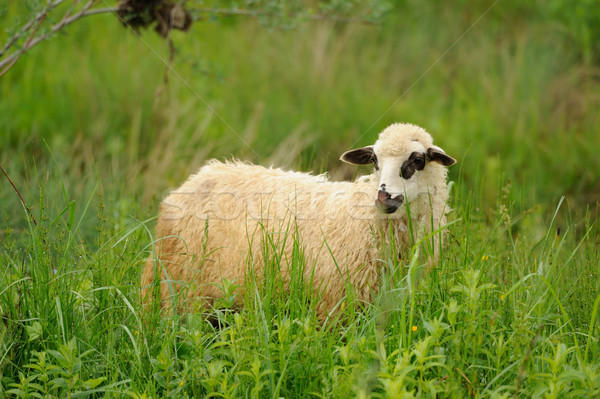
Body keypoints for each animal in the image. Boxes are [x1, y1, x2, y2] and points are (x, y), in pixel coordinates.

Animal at [143, 123, 458, 320]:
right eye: (375, 161)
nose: (384, 198)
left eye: (418, 161)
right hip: (178, 288)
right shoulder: (334, 305)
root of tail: (198, 177)